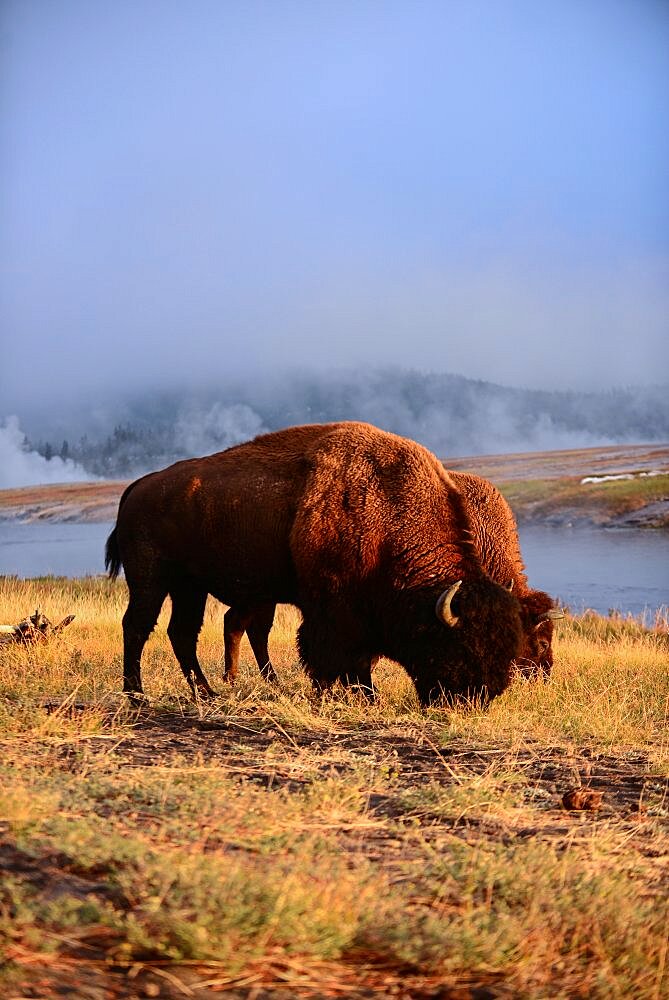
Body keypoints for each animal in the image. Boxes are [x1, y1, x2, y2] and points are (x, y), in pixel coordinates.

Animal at [105, 420, 520, 704]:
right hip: (151, 580)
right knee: (137, 626)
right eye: (464, 646)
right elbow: (333, 657)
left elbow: (356, 659)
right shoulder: (332, 610)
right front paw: (345, 696)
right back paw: (136, 695)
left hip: (189, 587)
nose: (476, 697)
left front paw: (360, 696)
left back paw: (205, 692)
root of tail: (136, 487)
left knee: (182, 632)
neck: (389, 512)